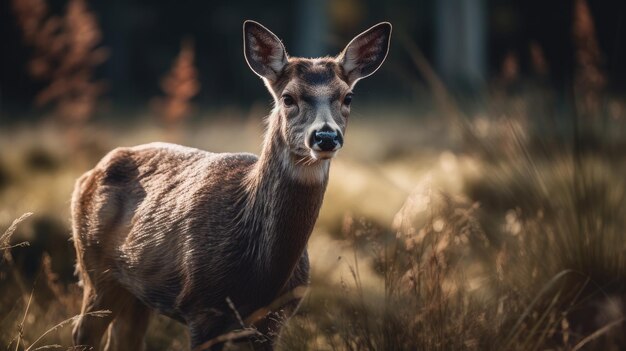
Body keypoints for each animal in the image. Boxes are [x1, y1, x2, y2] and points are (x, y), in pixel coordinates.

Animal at [70, 20, 388, 351]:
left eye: (347, 97)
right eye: (288, 98)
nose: (325, 136)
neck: (259, 275)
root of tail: (87, 175)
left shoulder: (274, 319)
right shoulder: (201, 308)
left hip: (135, 288)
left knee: (124, 337)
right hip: (93, 267)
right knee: (83, 331)